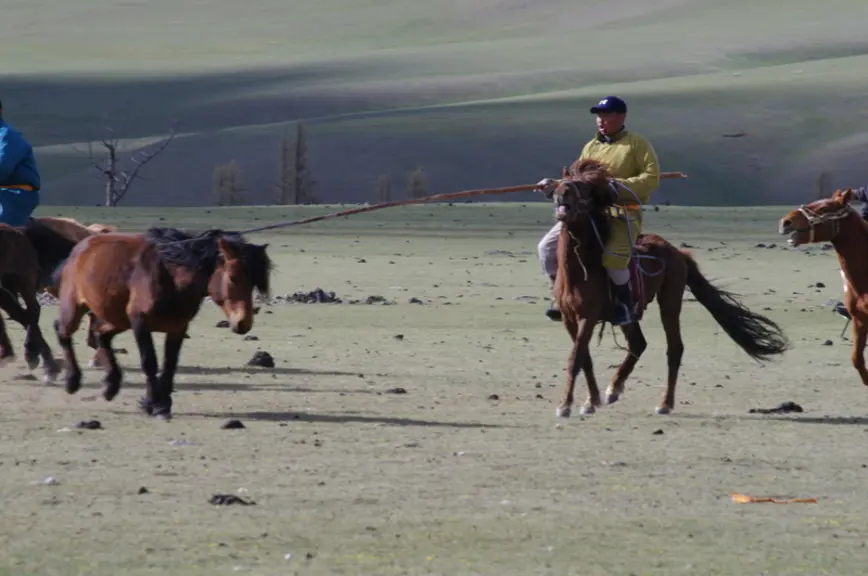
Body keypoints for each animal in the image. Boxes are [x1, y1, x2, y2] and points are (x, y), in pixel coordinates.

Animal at [54, 227, 272, 420]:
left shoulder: (177, 328)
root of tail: (80, 248)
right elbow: (149, 362)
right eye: (233, 277)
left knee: (101, 335)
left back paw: (111, 386)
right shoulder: (140, 324)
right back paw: (72, 381)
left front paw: (162, 405)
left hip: (118, 319)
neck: (170, 277)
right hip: (75, 308)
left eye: (255, 282)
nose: (243, 323)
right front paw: (155, 404)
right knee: (63, 331)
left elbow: (170, 365)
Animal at [551, 159, 790, 416]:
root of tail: (677, 252)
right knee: (638, 343)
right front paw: (591, 401)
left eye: (585, 187)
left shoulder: (588, 316)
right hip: (629, 314)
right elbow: (584, 357)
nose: (561, 193)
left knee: (674, 348)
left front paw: (565, 405)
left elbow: (575, 358)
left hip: (670, 301)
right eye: (564, 180)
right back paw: (614, 389)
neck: (581, 270)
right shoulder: (569, 318)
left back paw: (665, 403)